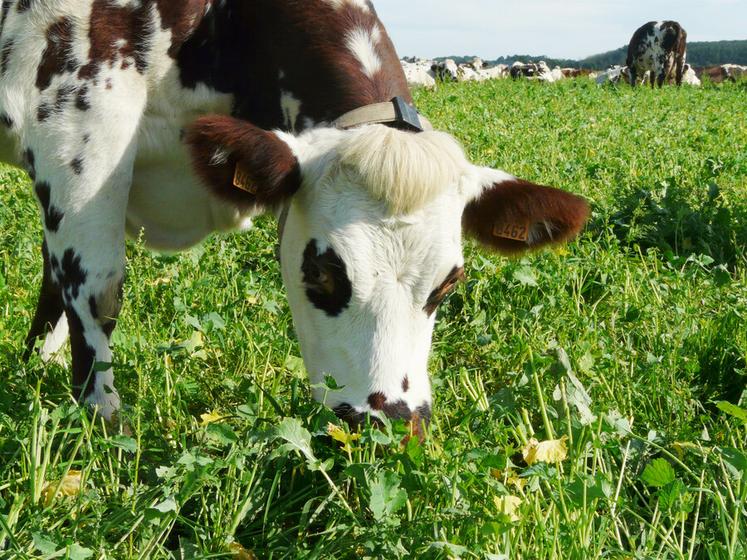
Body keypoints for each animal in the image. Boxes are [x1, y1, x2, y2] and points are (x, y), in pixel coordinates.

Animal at [0, 0, 592, 436]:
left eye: (447, 286)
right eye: (322, 273)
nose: (388, 425)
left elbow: (56, 284)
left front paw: (34, 371)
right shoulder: (78, 129)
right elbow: (96, 293)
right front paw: (102, 428)